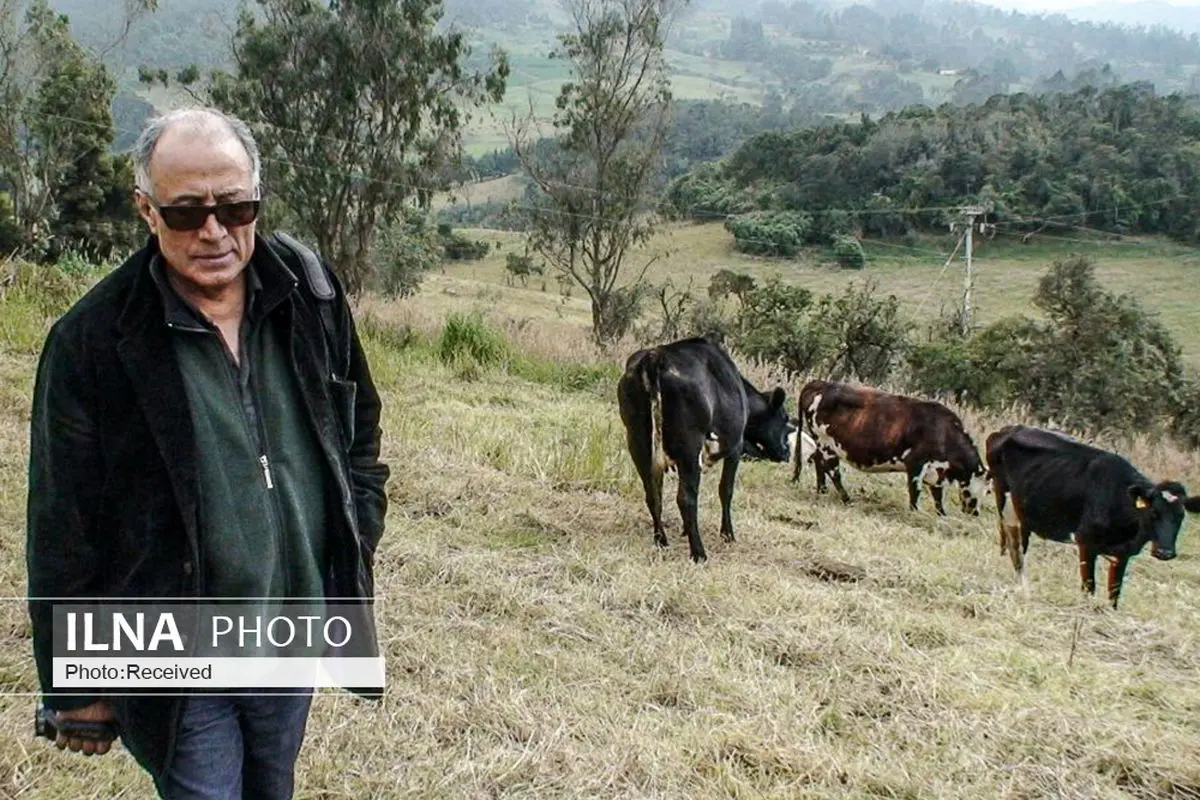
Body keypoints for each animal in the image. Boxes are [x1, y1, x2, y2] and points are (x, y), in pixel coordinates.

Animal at [619, 335, 796, 563]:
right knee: (685, 498)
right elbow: (726, 490)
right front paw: (727, 534)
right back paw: (699, 553)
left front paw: (685, 529)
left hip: (637, 438)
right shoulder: (735, 448)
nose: (787, 452)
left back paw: (661, 540)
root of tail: (656, 355)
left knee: (653, 493)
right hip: (689, 444)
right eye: (784, 418)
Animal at [796, 381, 984, 515]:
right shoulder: (916, 464)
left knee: (819, 464)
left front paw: (942, 515)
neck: (943, 431)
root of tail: (820, 383)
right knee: (833, 473)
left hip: (822, 445)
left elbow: (937, 495)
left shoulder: (936, 471)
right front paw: (915, 513)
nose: (975, 513)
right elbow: (915, 491)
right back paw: (847, 499)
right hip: (827, 444)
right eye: (986, 490)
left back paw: (822, 491)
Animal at [984, 424, 1200, 606]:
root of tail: (1009, 428)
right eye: (1153, 512)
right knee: (1014, 545)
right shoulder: (1086, 543)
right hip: (1004, 500)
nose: (1165, 552)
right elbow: (1089, 587)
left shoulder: (1123, 554)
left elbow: (1114, 593)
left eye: (1181, 516)